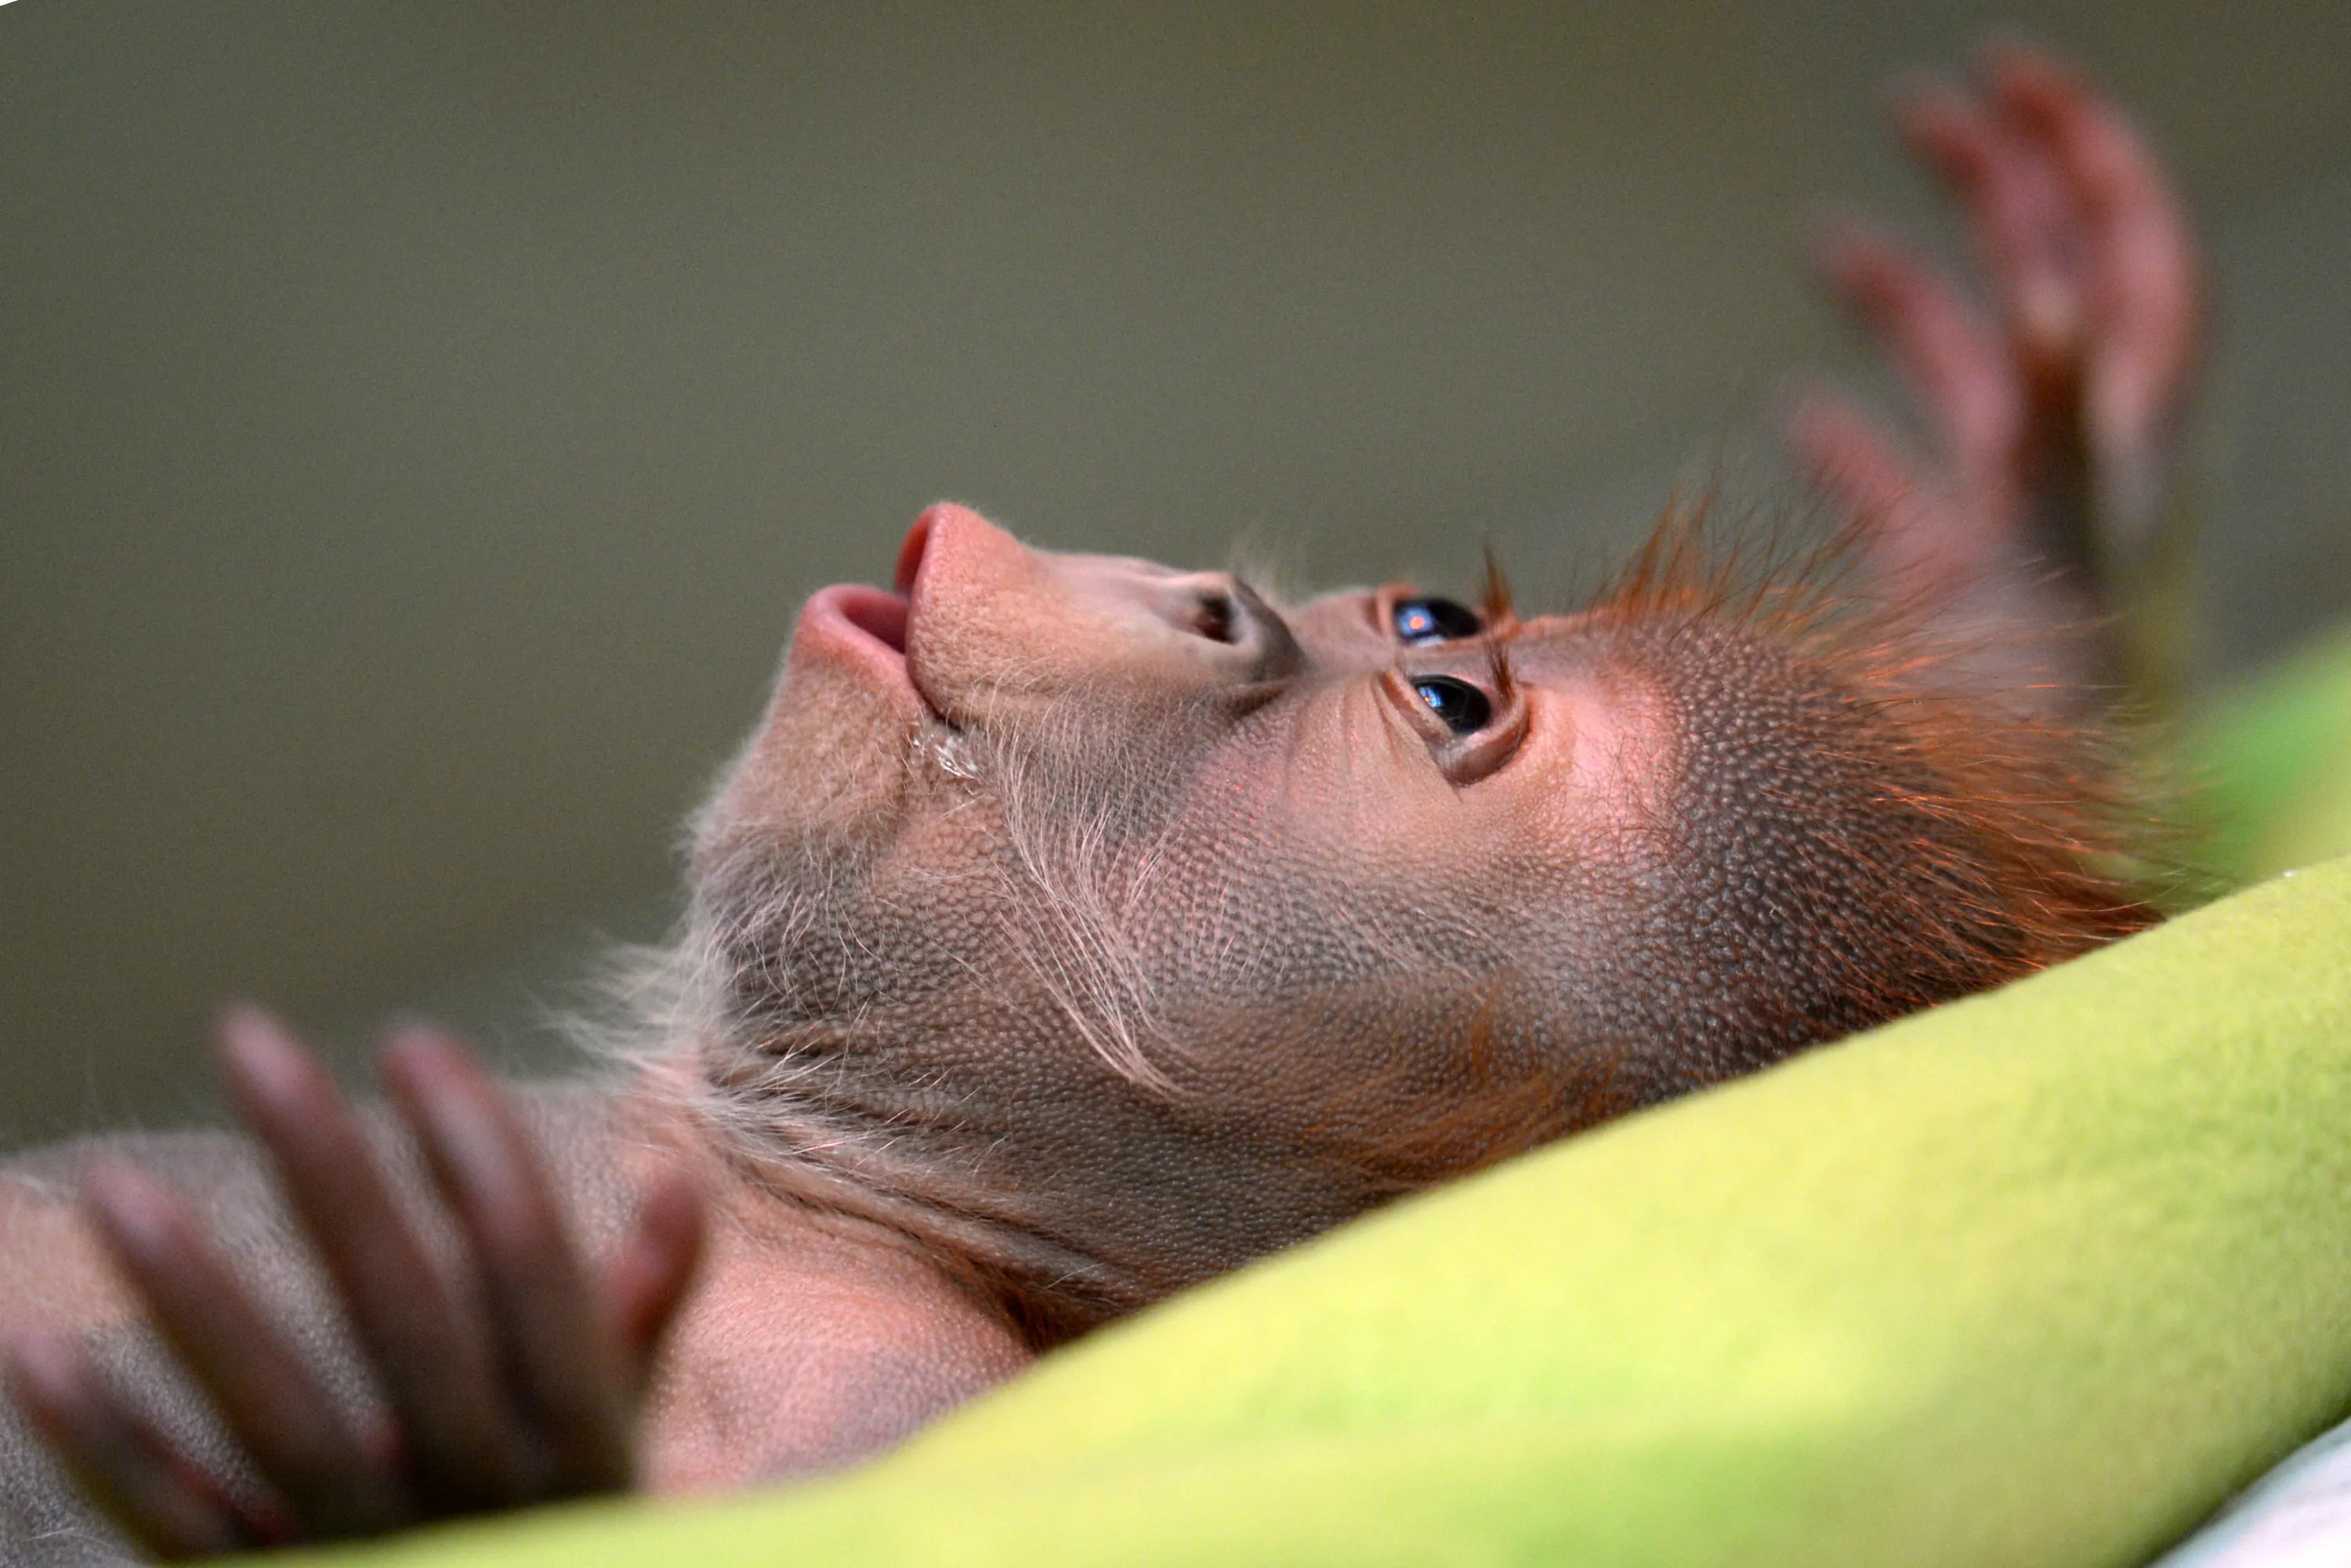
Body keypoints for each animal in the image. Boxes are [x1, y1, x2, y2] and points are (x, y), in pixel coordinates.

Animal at [0, 42, 2201, 1561]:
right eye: (1428, 620)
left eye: (1439, 693)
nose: (1211, 597)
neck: (776, 1163)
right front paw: (2026, 538)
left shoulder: (885, 1394)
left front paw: (455, 1458)